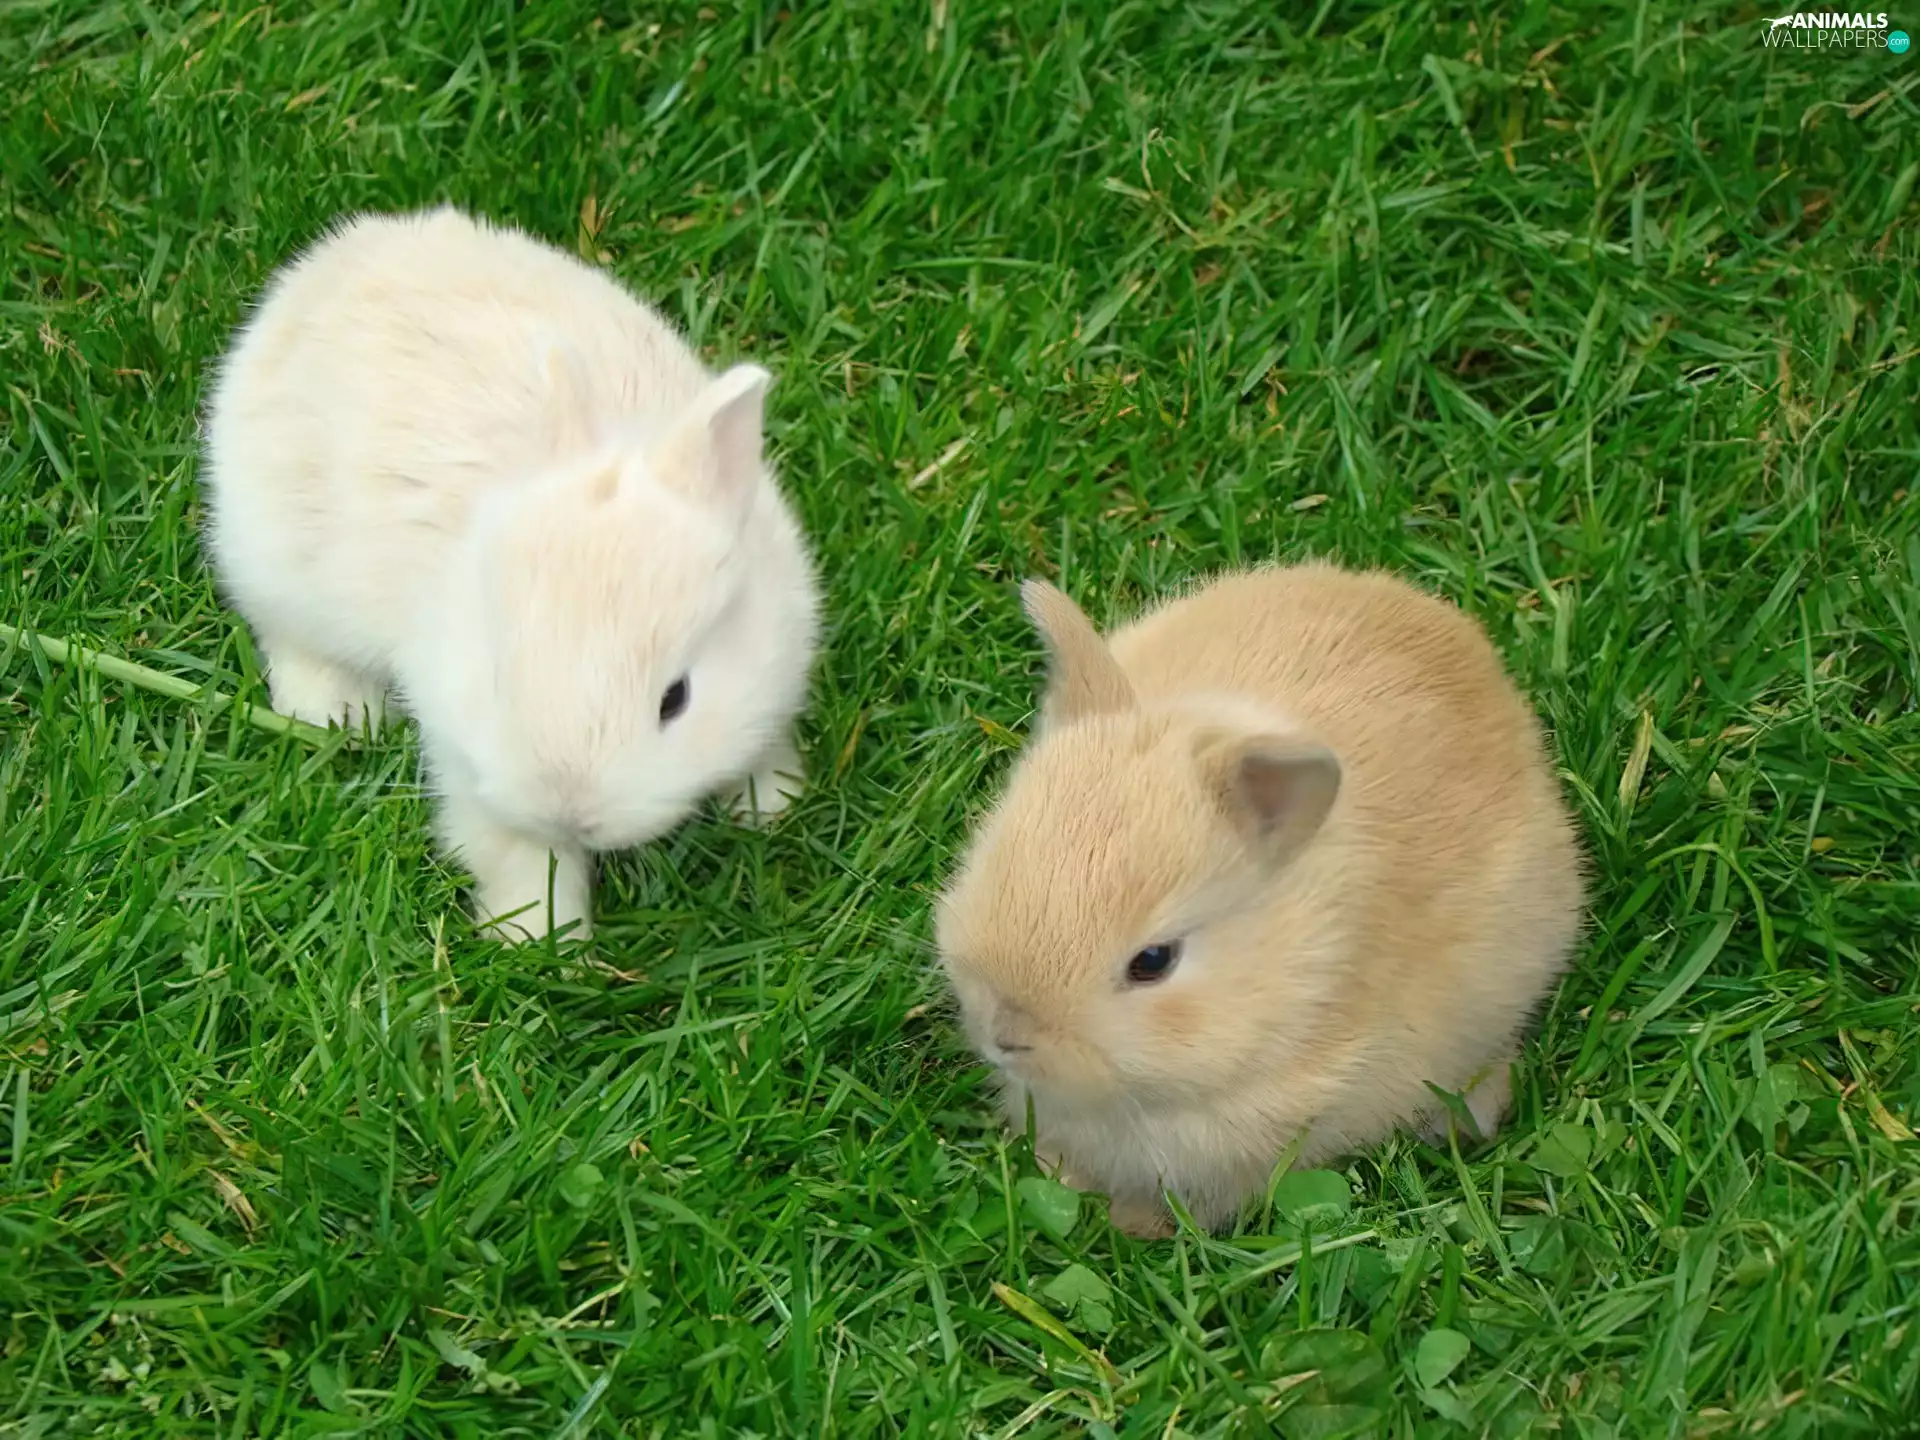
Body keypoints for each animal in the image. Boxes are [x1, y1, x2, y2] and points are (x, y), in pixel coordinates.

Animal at [200, 206, 820, 943]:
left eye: (677, 699)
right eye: (499, 676)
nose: (569, 811)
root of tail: (339, 257)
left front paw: (772, 804)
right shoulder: (468, 767)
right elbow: (520, 858)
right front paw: (540, 941)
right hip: (276, 564)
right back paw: (339, 716)